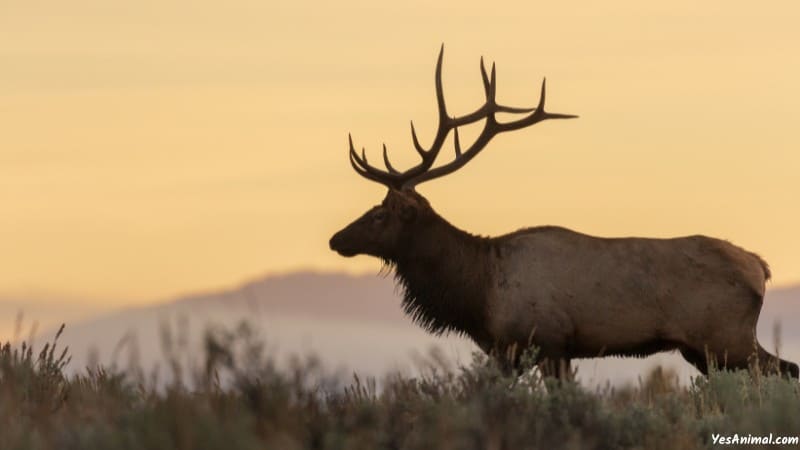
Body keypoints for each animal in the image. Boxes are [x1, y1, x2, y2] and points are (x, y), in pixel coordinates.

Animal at [328, 47, 796, 380]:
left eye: (381, 214)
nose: (335, 239)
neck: (478, 291)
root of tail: (761, 267)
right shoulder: (518, 351)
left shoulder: (545, 339)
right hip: (703, 349)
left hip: (726, 337)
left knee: (783, 372)